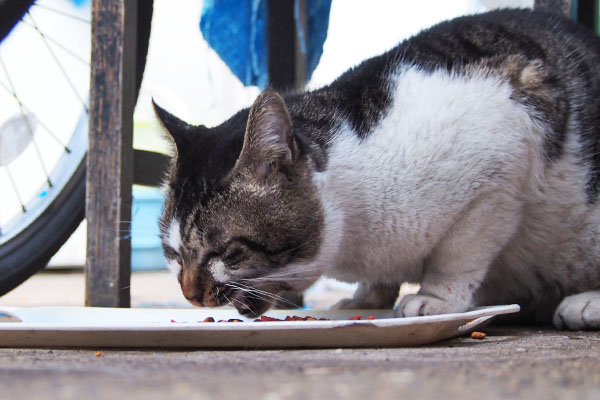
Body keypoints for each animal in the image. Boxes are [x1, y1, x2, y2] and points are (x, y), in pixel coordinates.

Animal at [157, 8, 600, 332]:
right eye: (174, 254)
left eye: (224, 250)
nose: (189, 294)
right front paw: (366, 298)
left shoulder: (503, 163)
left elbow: (459, 253)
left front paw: (436, 298)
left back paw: (584, 303)